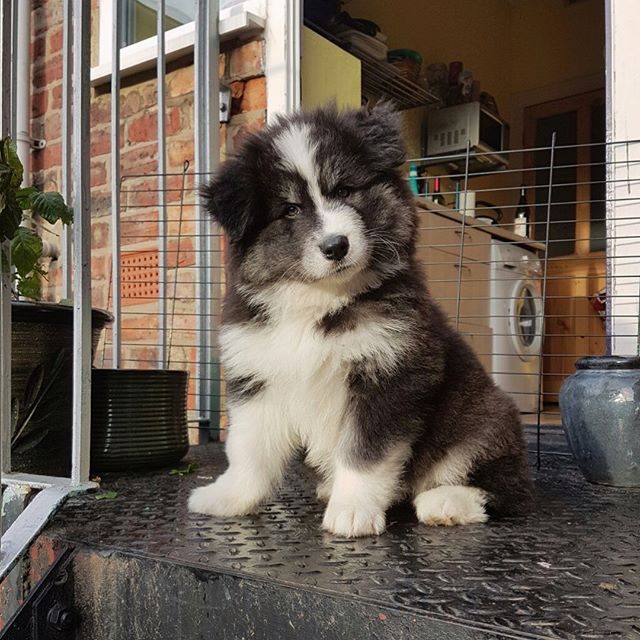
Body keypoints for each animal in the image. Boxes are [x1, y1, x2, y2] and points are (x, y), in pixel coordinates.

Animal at [188, 103, 533, 537]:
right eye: (290, 210)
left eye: (344, 191)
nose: (336, 245)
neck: (320, 302)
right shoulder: (257, 375)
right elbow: (248, 450)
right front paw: (229, 497)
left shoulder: (389, 376)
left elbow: (364, 452)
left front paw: (352, 511)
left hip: (484, 417)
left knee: (508, 489)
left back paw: (446, 501)